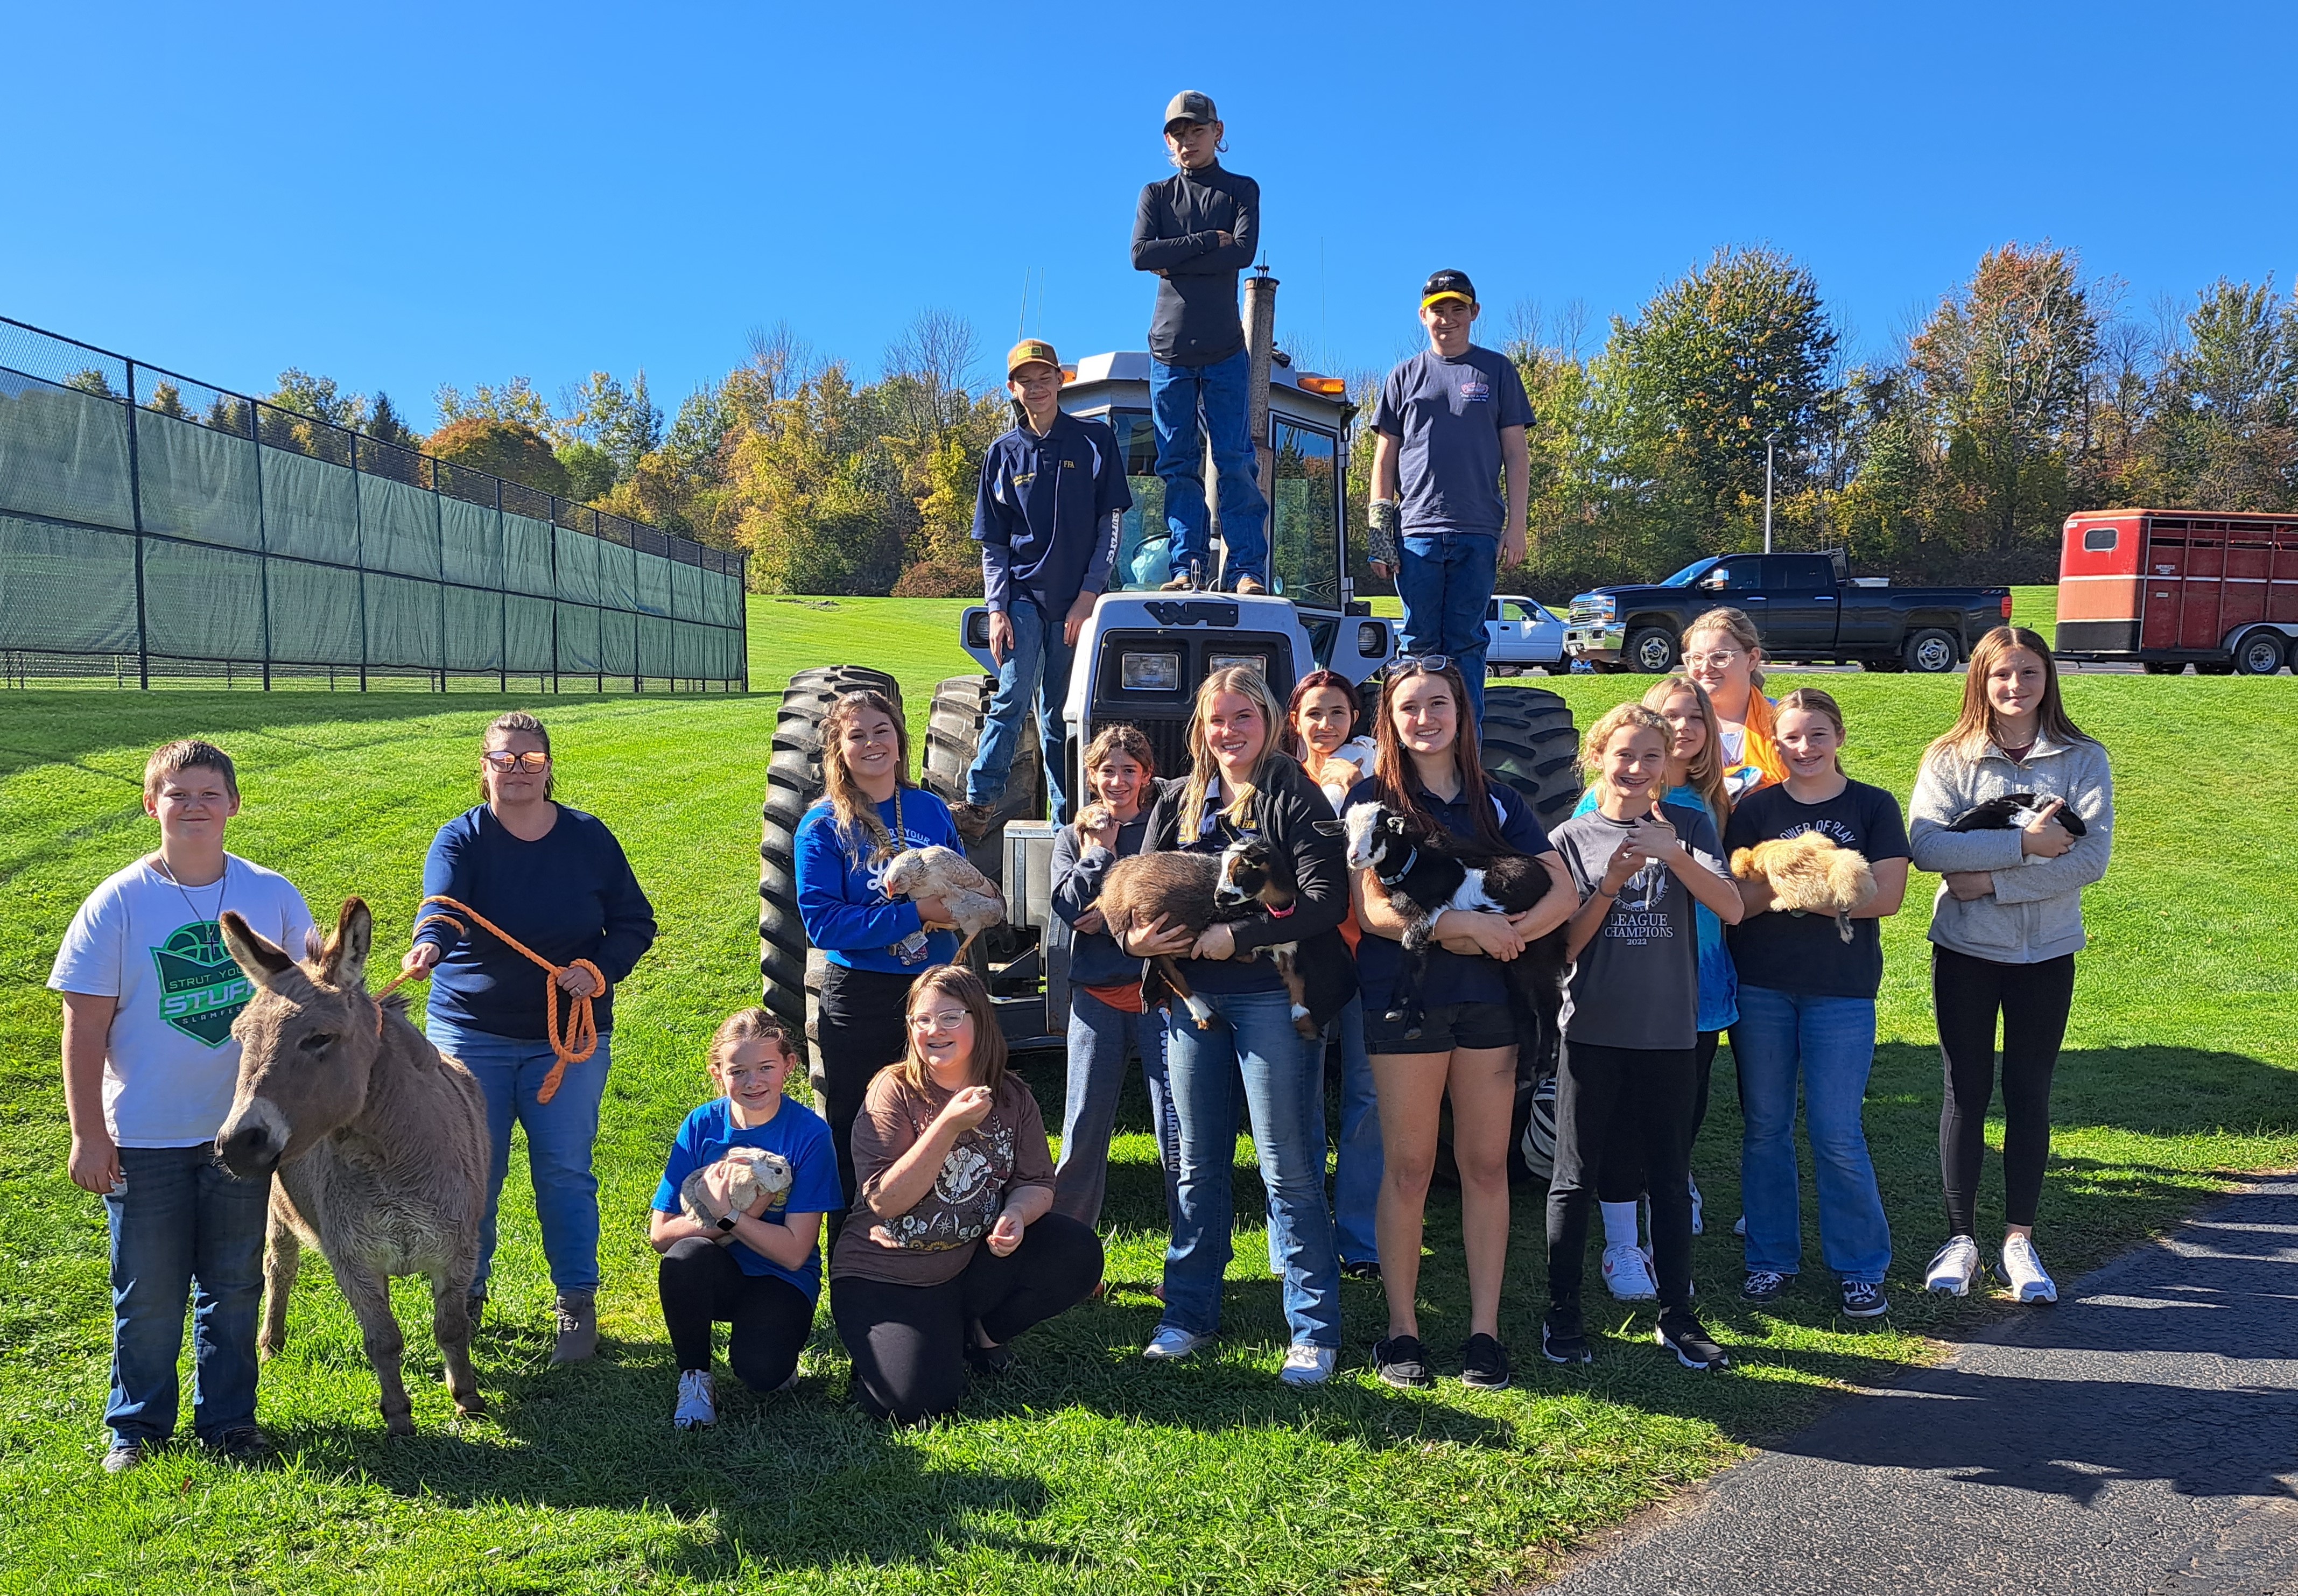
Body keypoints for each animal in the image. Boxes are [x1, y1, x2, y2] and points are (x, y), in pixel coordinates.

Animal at [1098, 845, 1323, 1042]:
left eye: (1241, 871)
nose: (1218, 898)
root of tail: (1109, 885)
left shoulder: (1287, 947)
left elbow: (1297, 980)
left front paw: (1306, 1025)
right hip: (1152, 936)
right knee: (1171, 973)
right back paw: (1205, 1015)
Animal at [1323, 799, 1571, 1047]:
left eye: (1380, 829)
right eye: (1347, 831)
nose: (1354, 857)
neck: (1414, 866)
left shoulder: (1430, 912)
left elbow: (1412, 957)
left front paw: (1412, 1021)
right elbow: (1409, 955)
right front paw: (1399, 1007)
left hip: (1540, 949)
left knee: (1547, 1006)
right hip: (1516, 961)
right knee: (1526, 1013)